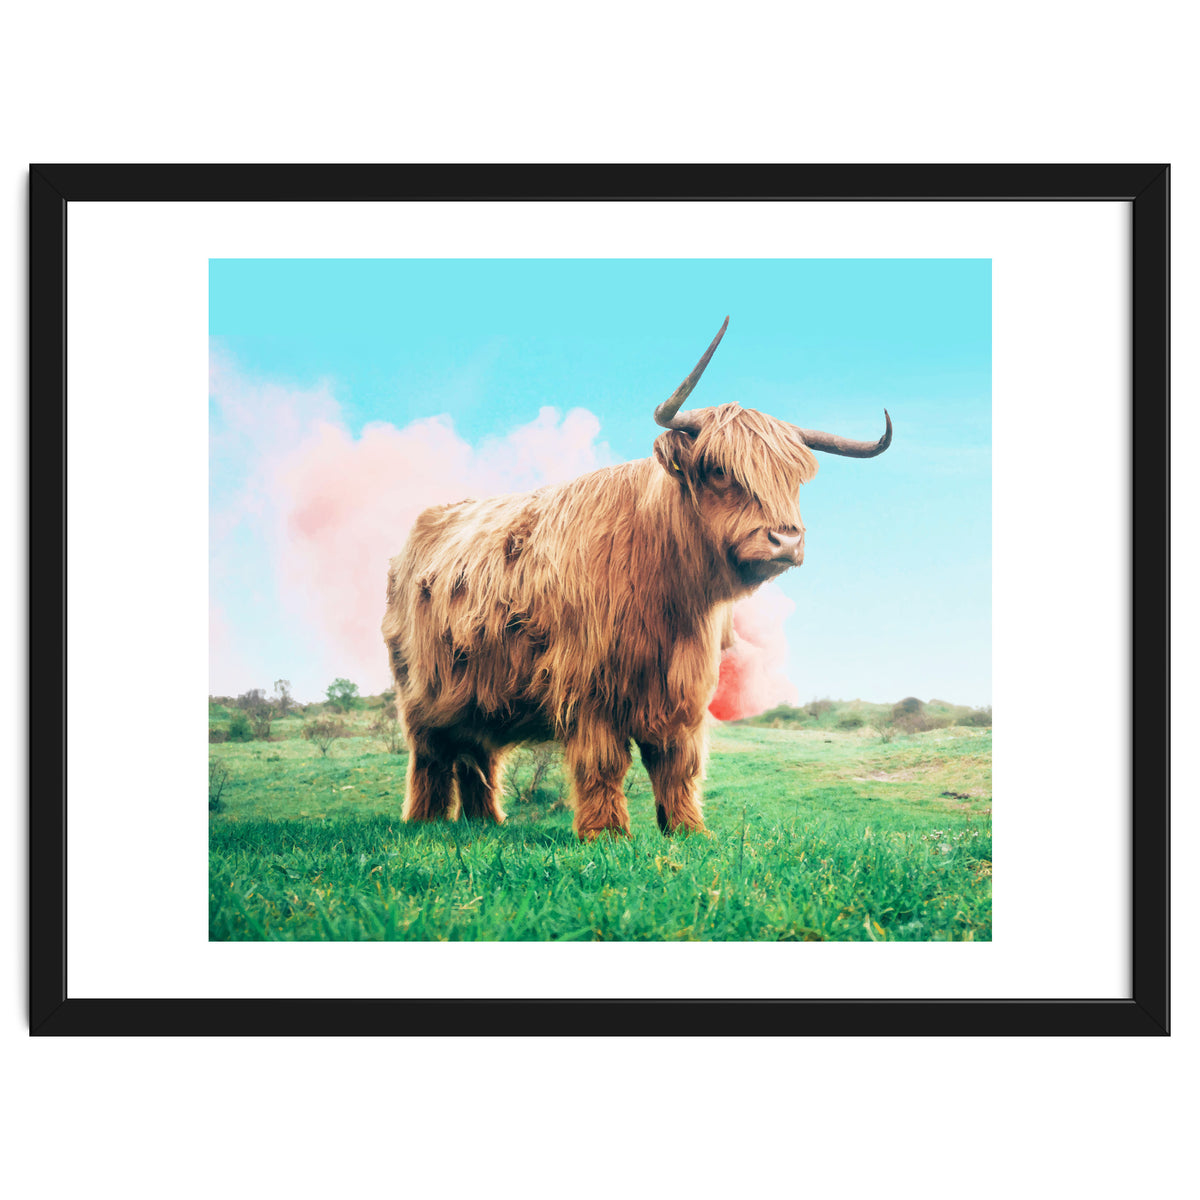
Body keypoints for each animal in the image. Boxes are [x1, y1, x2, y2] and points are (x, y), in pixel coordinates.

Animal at [381, 319, 892, 839]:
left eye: (793, 480)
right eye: (719, 470)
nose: (786, 540)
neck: (668, 594)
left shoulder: (683, 689)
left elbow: (677, 762)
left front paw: (688, 829)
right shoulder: (589, 685)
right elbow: (603, 762)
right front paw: (606, 833)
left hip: (477, 692)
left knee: (476, 753)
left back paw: (485, 822)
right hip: (422, 691)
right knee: (431, 754)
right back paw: (425, 821)